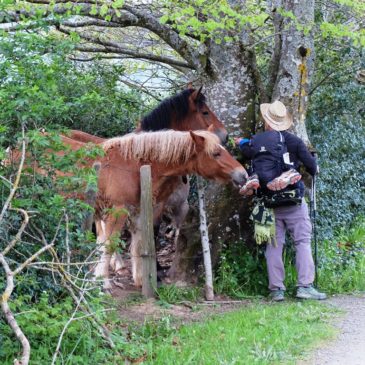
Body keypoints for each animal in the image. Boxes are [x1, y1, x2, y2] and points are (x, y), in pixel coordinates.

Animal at [91, 129, 247, 288]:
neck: (130, 165)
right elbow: (109, 244)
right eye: (216, 153)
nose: (243, 174)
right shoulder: (118, 211)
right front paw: (102, 282)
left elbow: (137, 244)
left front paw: (141, 280)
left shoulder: (137, 213)